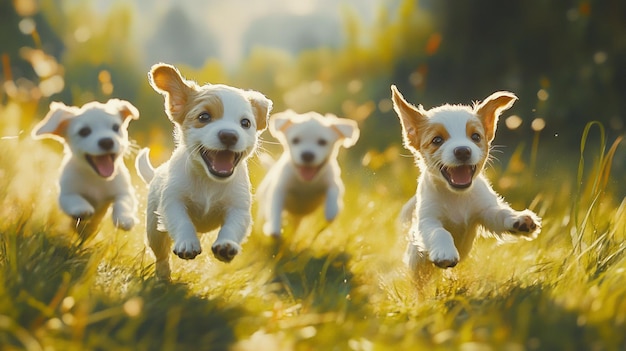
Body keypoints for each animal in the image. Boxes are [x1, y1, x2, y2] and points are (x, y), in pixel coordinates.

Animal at [31, 99, 139, 236]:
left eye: (116, 127)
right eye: (84, 131)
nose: (107, 141)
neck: (96, 178)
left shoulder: (125, 191)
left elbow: (123, 203)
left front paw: (125, 218)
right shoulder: (66, 194)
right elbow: (74, 199)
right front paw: (82, 208)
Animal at [135, 62, 272, 280]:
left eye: (245, 123)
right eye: (204, 117)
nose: (229, 135)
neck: (209, 181)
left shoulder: (239, 208)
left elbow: (232, 226)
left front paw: (226, 245)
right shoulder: (172, 202)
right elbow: (182, 221)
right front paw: (187, 242)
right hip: (154, 229)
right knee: (161, 254)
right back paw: (163, 276)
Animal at [392, 86, 540, 286]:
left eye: (475, 136)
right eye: (437, 140)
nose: (463, 151)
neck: (457, 196)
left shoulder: (484, 210)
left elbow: (500, 213)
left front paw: (518, 219)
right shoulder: (426, 220)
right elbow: (439, 231)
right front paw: (445, 252)